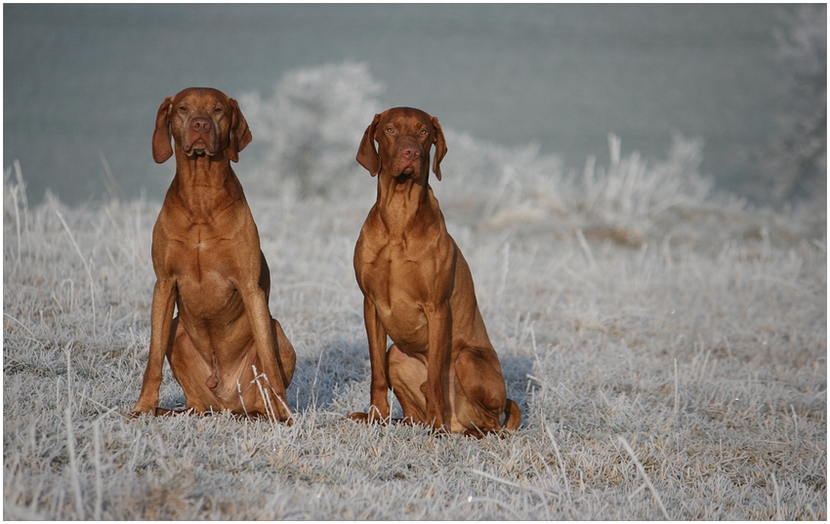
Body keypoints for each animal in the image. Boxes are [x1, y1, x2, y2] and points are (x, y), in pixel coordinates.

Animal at [128, 87, 298, 422]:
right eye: (182, 108)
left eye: (218, 109)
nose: (201, 125)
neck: (201, 193)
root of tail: (227, 405)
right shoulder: (164, 284)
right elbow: (153, 358)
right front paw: (142, 407)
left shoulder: (250, 287)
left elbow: (269, 361)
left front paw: (285, 415)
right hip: (179, 333)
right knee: (194, 400)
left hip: (276, 331)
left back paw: (269, 410)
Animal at [350, 106, 520, 438]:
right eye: (390, 129)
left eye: (423, 132)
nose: (411, 153)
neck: (399, 216)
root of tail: (459, 421)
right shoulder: (370, 305)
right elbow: (377, 371)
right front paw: (376, 416)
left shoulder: (437, 308)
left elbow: (434, 383)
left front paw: (435, 425)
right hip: (397, 354)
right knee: (413, 398)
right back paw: (409, 421)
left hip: (468, 360)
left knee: (491, 422)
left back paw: (459, 429)